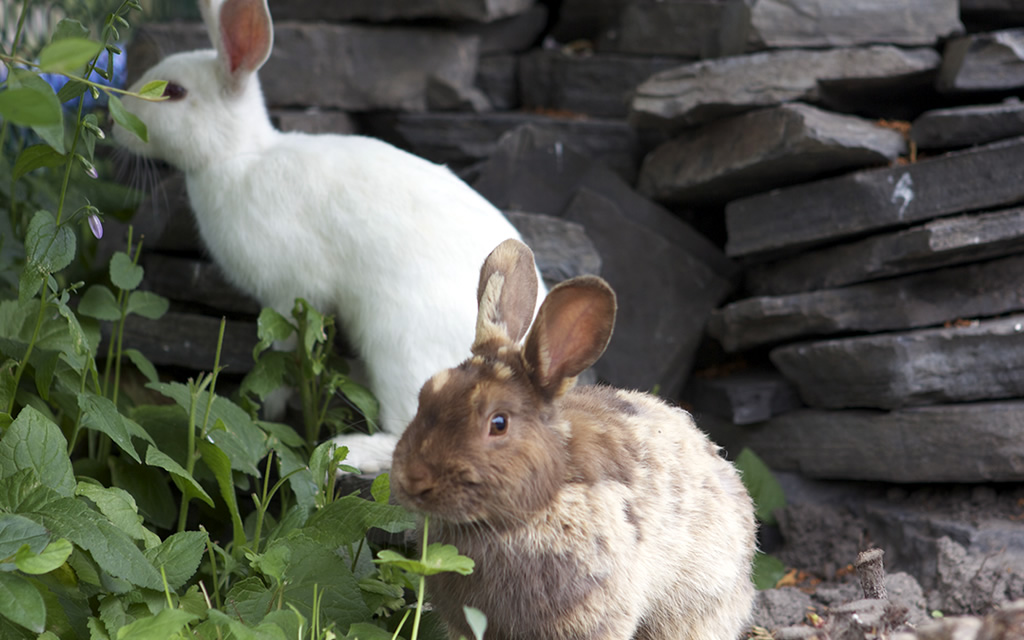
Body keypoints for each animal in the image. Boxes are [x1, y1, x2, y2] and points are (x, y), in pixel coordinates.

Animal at [112, 0, 543, 472]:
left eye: (174, 92)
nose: (114, 123)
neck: (239, 156)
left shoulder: (287, 294)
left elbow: (279, 351)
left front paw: (270, 407)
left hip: (399, 343)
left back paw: (349, 448)